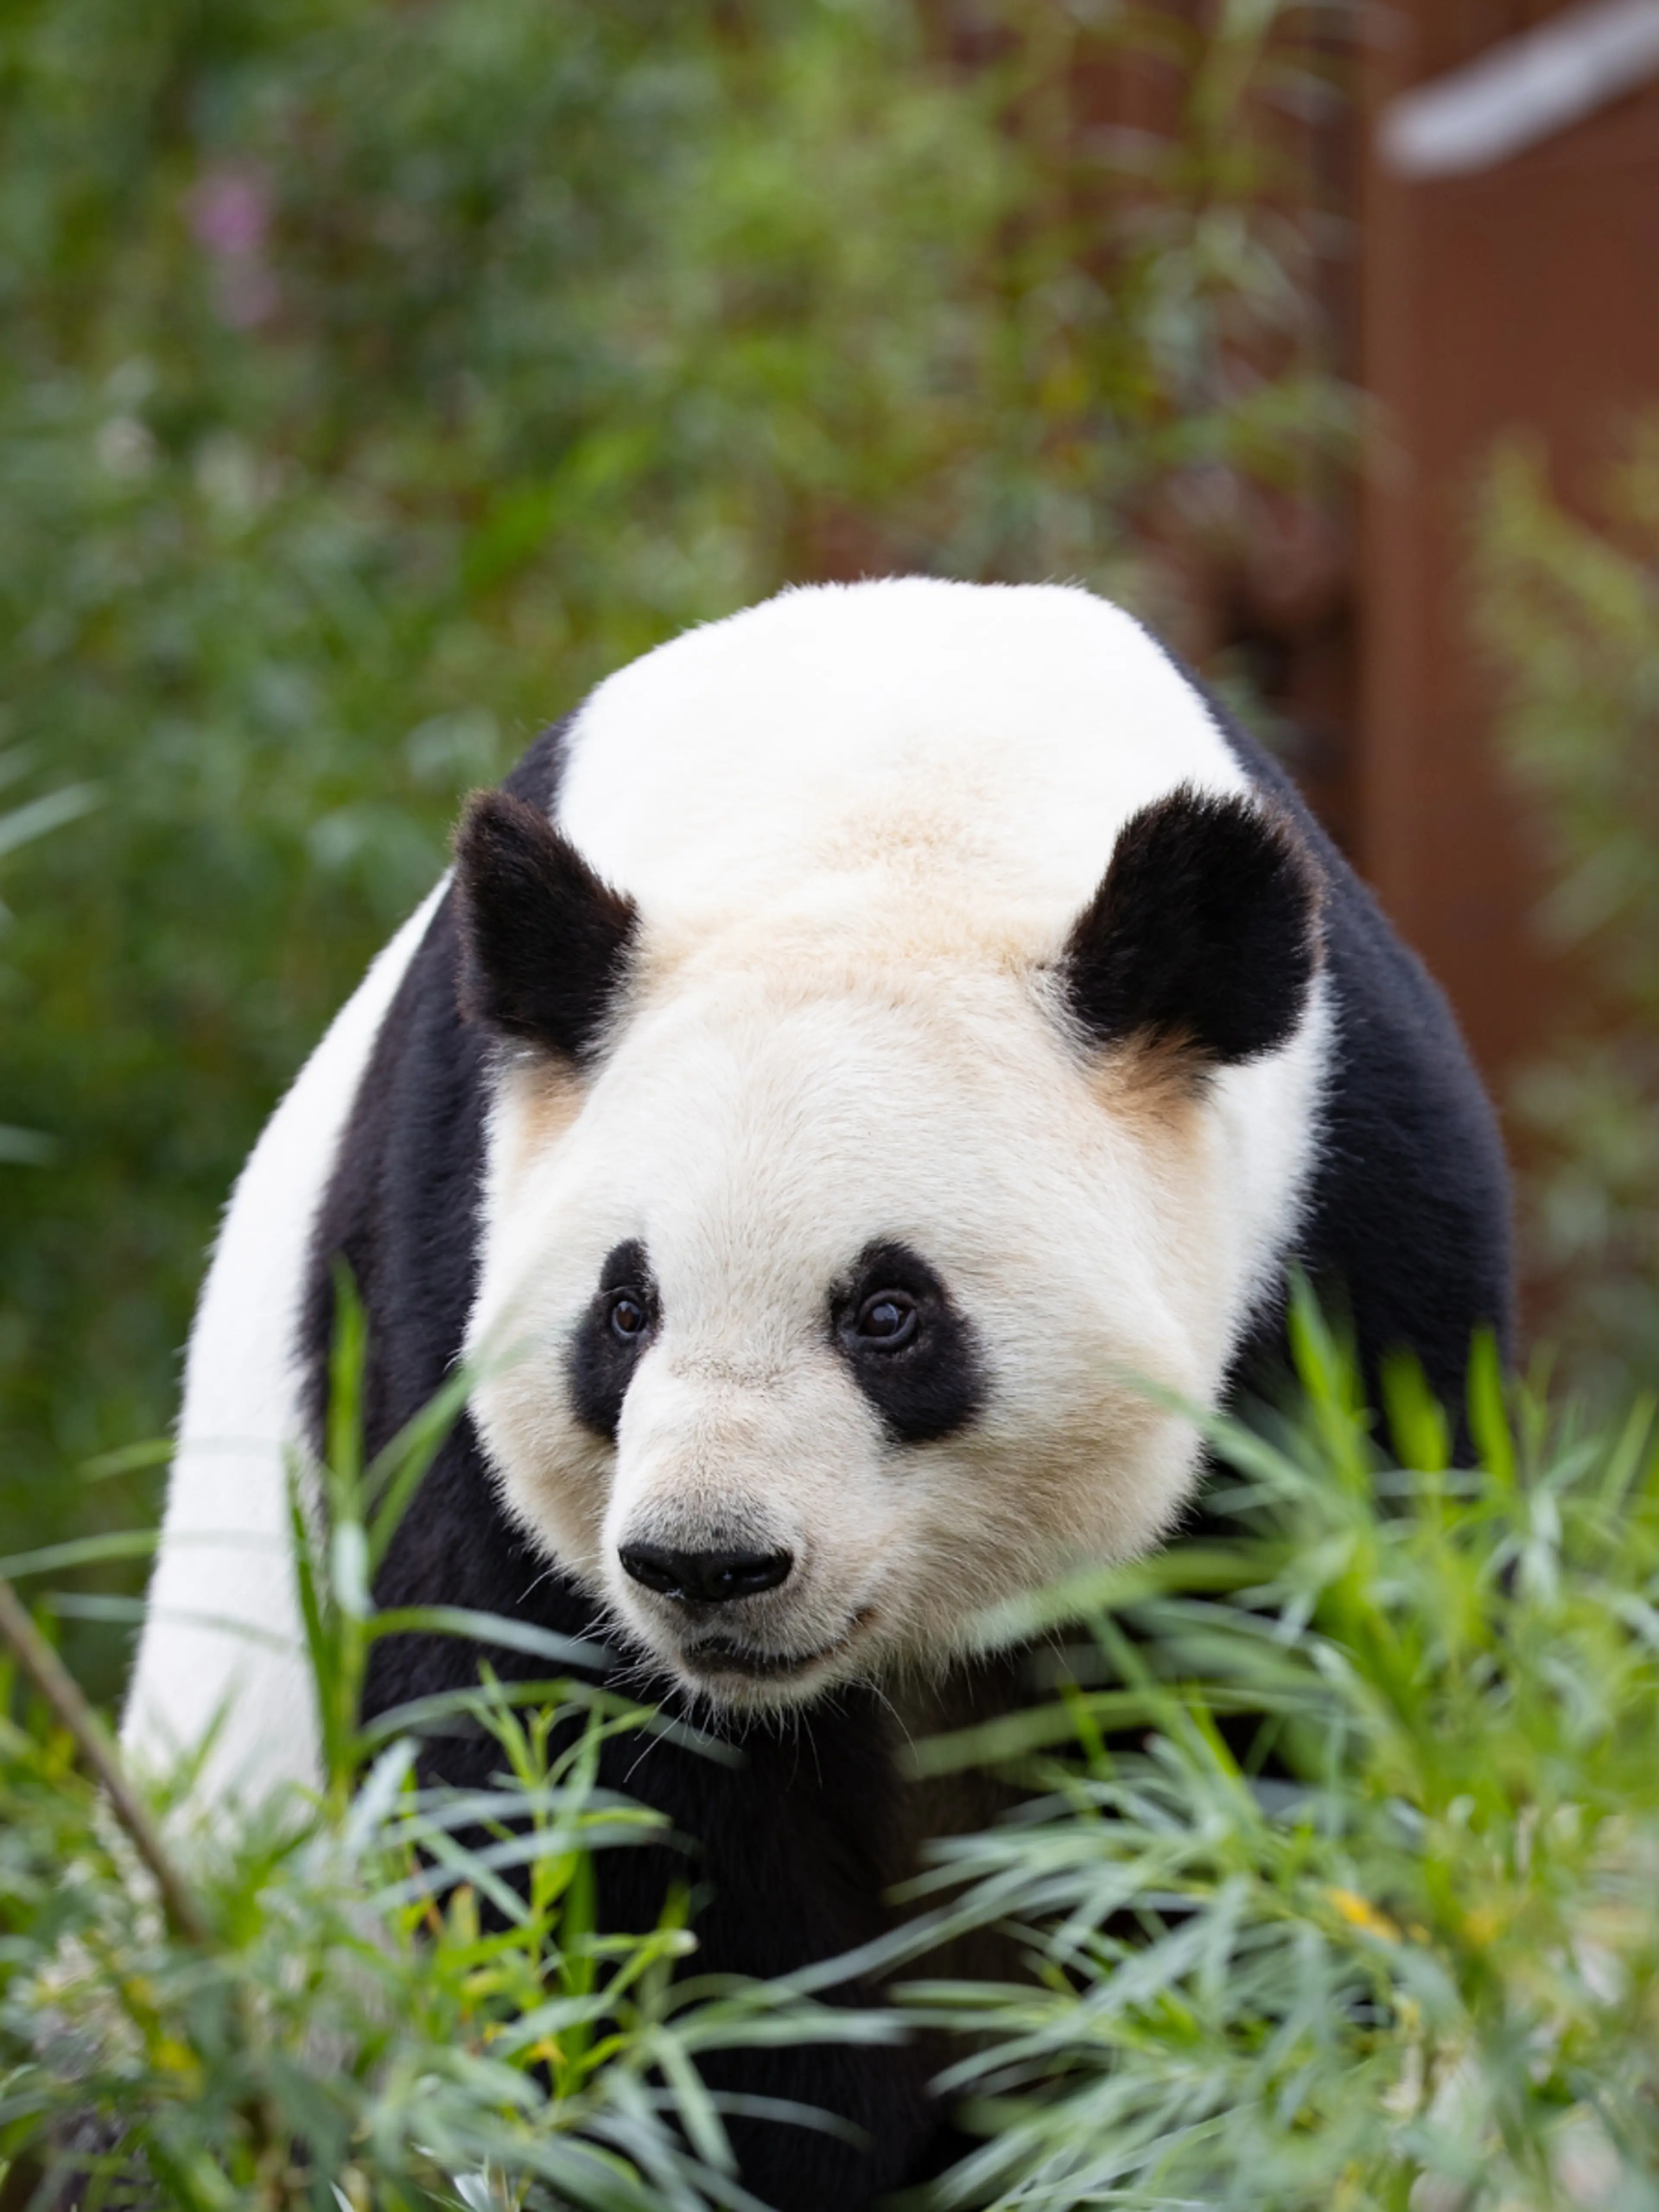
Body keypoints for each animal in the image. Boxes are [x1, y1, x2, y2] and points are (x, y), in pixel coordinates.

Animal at [124, 579, 1513, 2208]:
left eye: (888, 1314)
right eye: (625, 1308)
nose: (707, 1563)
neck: (885, 797)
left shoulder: (1348, 1248)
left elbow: (1290, 1726)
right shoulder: (449, 1245)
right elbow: (578, 1802)